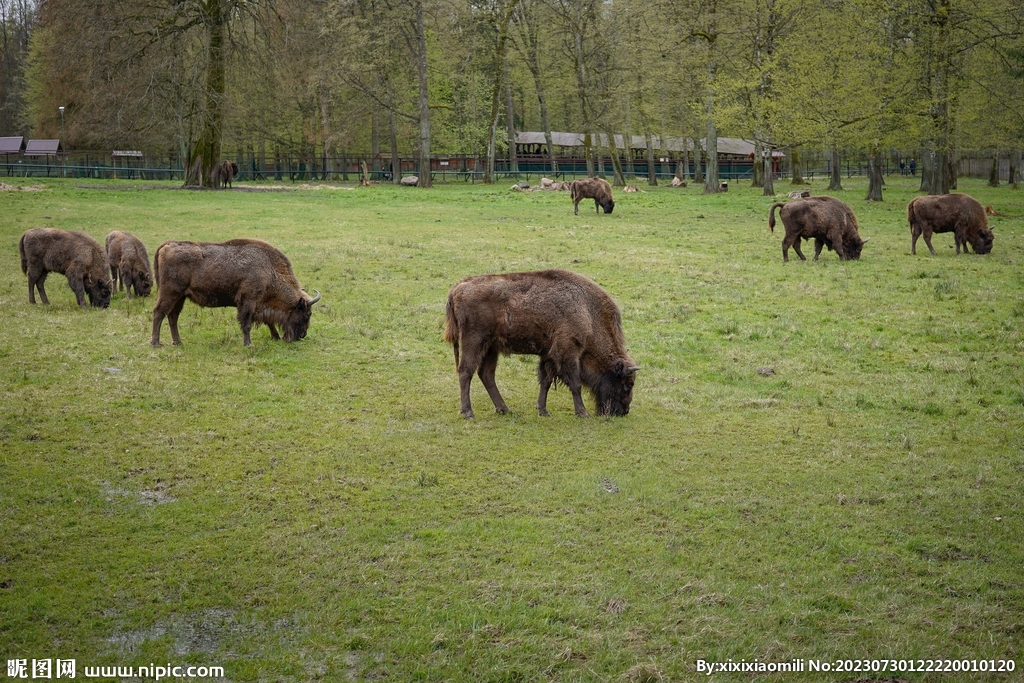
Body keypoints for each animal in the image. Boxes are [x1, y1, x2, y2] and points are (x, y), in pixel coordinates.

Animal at [150, 239, 319, 348]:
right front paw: (248, 344)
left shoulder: (259, 304)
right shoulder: (248, 301)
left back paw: (178, 342)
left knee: (172, 316)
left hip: (180, 297)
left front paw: (275, 337)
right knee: (159, 312)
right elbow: (247, 324)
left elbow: (268, 321)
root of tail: (167, 245)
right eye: (307, 314)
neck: (269, 269)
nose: (302, 335)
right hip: (170, 293)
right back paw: (156, 343)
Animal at [442, 270, 634, 419]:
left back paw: (505, 409)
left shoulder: (548, 355)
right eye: (627, 385)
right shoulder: (567, 353)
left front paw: (543, 410)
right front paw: (583, 413)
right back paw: (468, 412)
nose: (623, 411)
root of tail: (457, 289)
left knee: (486, 374)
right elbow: (575, 383)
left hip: (490, 348)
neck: (587, 311)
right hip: (474, 341)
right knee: (466, 372)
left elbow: (546, 381)